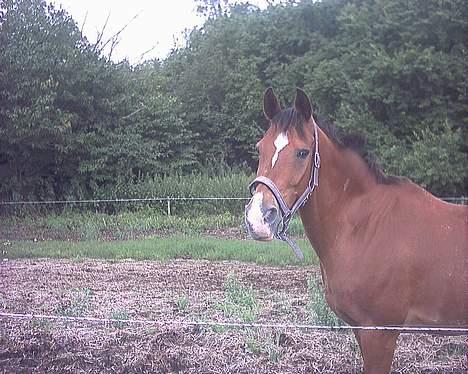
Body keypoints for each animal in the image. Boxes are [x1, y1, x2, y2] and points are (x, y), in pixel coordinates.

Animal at [245, 88, 468, 374]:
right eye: (260, 147)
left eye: (303, 153)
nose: (258, 219)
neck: (367, 226)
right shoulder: (361, 331)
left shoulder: (379, 334)